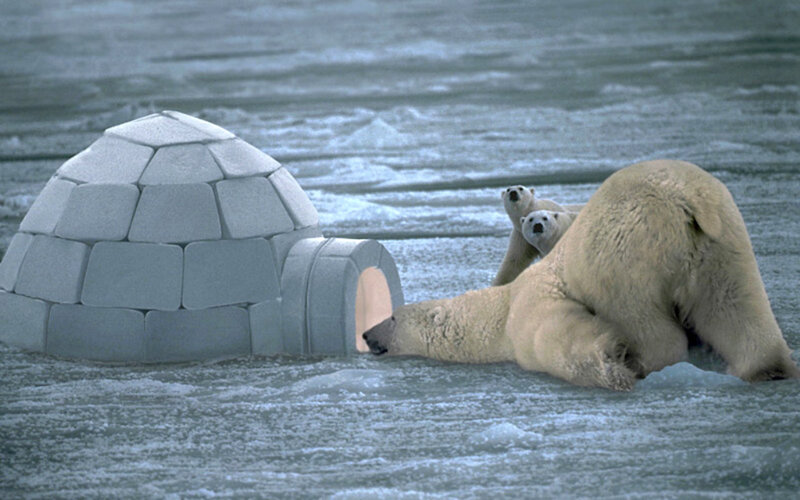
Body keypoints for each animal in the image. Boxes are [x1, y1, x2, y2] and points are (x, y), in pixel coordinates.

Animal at [364, 160, 799, 391]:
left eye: (392, 316)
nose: (367, 334)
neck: (499, 309)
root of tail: (686, 199)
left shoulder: (531, 306)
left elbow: (557, 336)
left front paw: (612, 360)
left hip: (624, 252)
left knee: (643, 316)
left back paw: (645, 360)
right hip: (722, 242)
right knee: (736, 305)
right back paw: (768, 368)